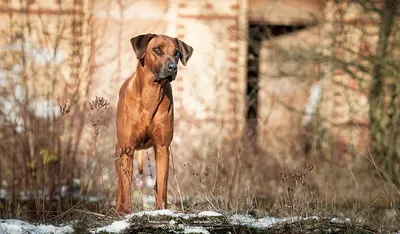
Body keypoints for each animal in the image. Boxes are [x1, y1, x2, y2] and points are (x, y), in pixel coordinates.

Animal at [114, 33, 194, 214]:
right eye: (157, 49)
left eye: (177, 53)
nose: (173, 67)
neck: (151, 93)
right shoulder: (127, 149)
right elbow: (125, 185)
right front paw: (126, 212)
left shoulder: (163, 147)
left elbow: (162, 185)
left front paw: (161, 209)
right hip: (119, 152)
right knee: (120, 186)